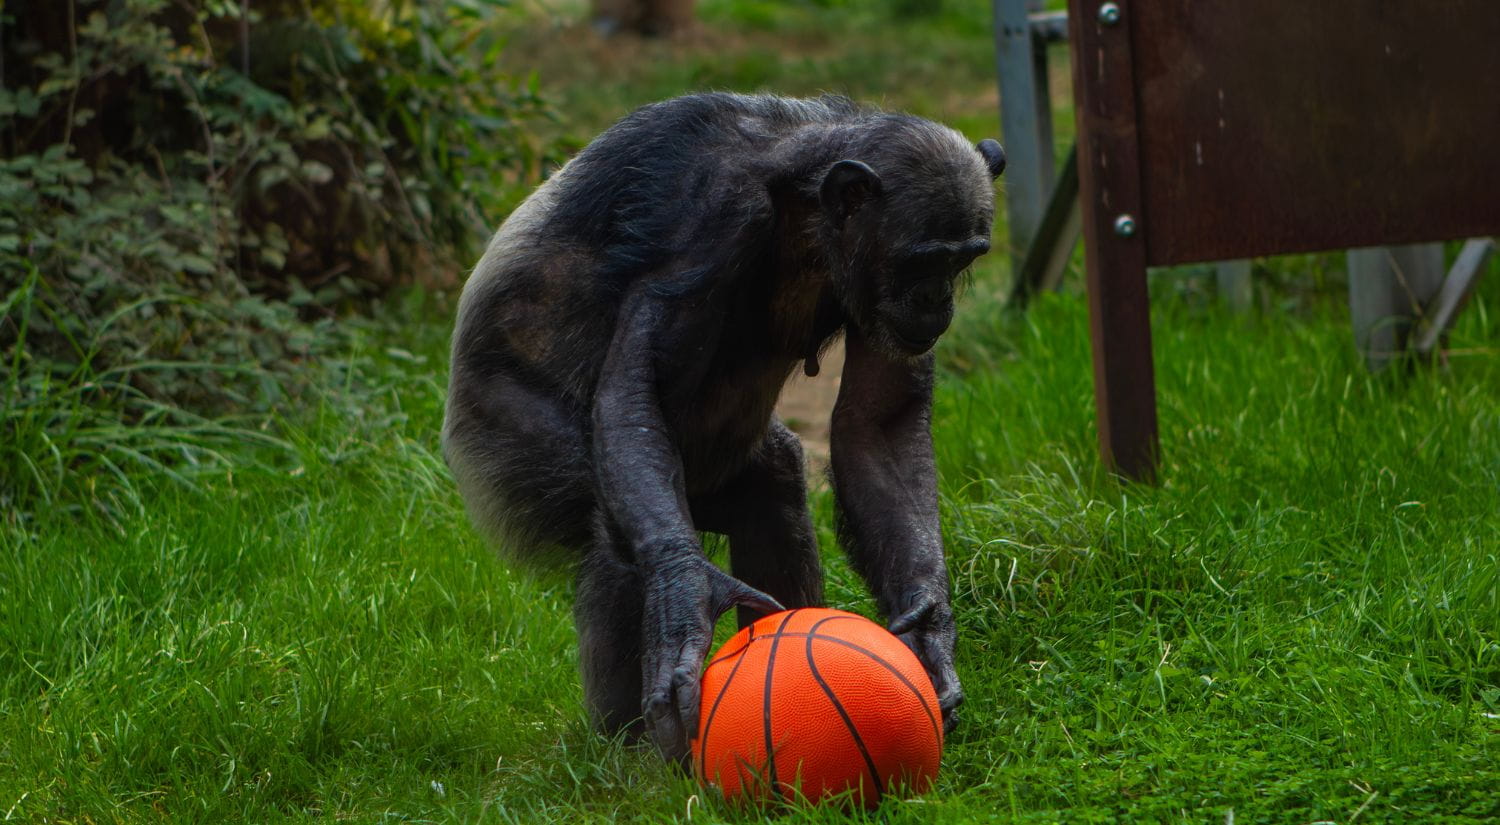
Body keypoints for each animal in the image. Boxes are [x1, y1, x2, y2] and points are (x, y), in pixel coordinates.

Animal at [442, 92, 1005, 764]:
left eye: (963, 258)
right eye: (924, 261)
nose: (937, 300)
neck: (806, 210)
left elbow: (879, 423)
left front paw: (928, 632)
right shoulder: (711, 221)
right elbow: (641, 385)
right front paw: (686, 597)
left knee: (774, 487)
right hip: (506, 441)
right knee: (613, 537)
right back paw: (633, 754)